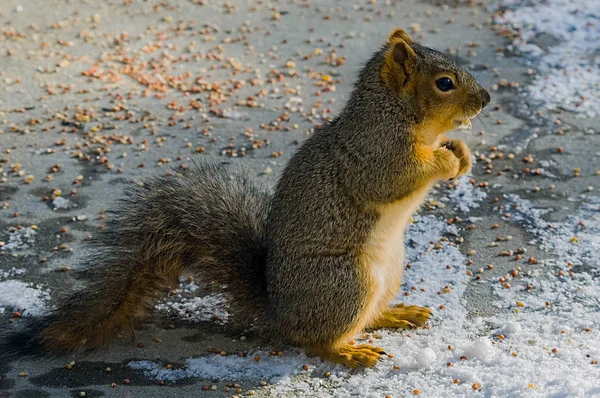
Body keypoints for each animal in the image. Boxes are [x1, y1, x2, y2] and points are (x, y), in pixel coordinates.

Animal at [8, 28, 488, 368]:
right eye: (444, 83)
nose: (485, 99)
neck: (399, 116)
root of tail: (282, 311)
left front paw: (462, 154)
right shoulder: (374, 154)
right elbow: (395, 179)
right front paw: (446, 160)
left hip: (390, 272)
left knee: (364, 316)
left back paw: (395, 314)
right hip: (346, 281)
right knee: (314, 339)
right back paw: (348, 351)